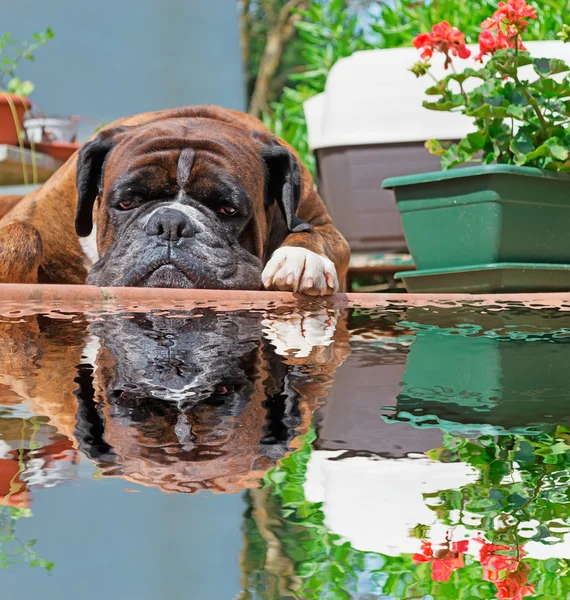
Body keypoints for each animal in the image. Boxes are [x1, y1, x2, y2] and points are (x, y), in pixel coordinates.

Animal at [0, 108, 346, 298]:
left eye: (228, 210)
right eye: (126, 203)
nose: (170, 223)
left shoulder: (321, 222)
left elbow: (317, 234)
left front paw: (301, 258)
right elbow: (23, 235)